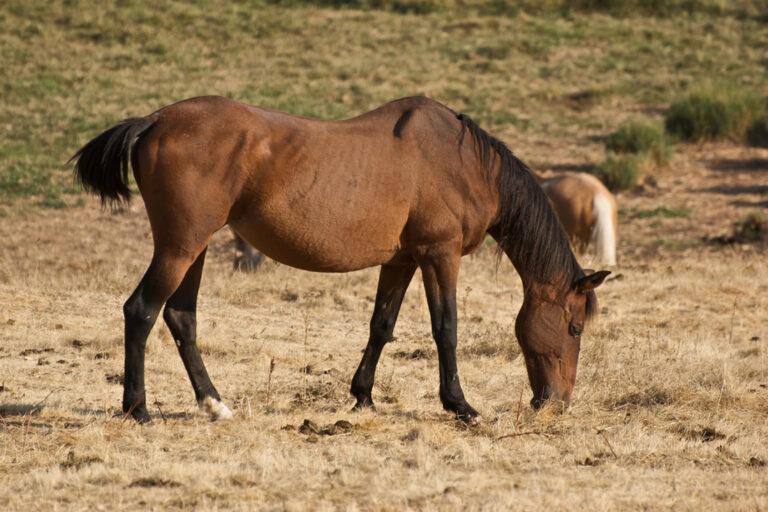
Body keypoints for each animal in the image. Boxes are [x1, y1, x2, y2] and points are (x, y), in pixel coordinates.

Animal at [71, 95, 609, 423]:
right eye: (574, 328)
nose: (555, 403)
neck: (464, 163)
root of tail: (155, 121)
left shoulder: (402, 260)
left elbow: (381, 326)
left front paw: (363, 395)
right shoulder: (440, 255)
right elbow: (446, 328)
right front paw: (460, 405)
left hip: (194, 249)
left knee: (181, 316)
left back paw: (215, 404)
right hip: (180, 247)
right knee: (141, 310)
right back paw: (138, 409)